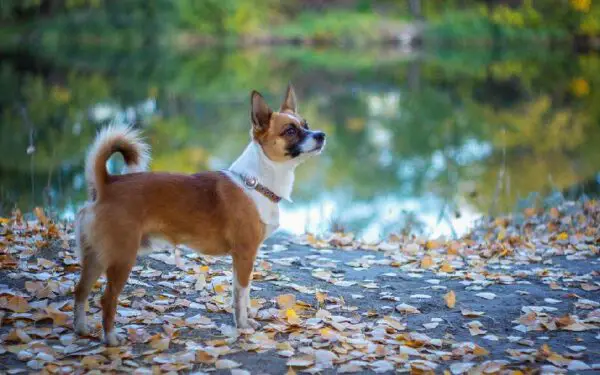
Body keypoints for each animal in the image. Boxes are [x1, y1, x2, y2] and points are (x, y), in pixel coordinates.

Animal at [74, 85, 328, 346]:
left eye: (306, 124)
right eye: (290, 130)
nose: (321, 135)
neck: (255, 183)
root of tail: (107, 185)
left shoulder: (242, 259)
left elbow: (241, 294)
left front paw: (244, 320)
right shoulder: (245, 254)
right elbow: (242, 294)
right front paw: (243, 326)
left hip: (96, 257)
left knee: (80, 291)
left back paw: (81, 328)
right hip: (122, 258)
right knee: (107, 298)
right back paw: (111, 339)